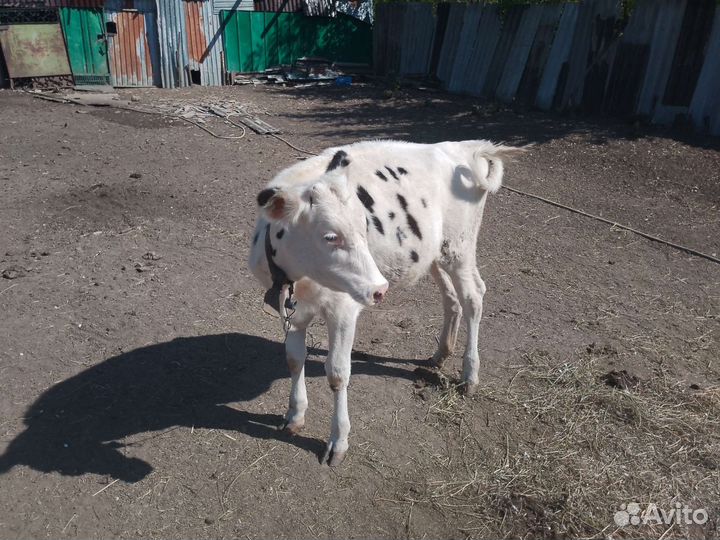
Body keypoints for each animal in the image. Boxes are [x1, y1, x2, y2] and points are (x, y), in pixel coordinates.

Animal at [248, 140, 524, 466]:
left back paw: (469, 376)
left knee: (473, 296)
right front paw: (294, 415)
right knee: (451, 298)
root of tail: (465, 147)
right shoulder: (289, 308)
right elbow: (293, 359)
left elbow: (337, 374)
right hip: (434, 252)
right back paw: (441, 353)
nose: (379, 289)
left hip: (460, 246)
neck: (299, 279)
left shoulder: (343, 308)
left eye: (364, 225)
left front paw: (338, 442)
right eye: (330, 236)